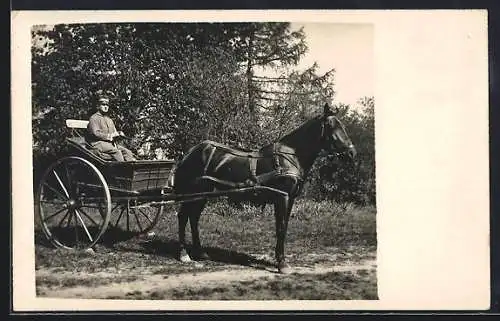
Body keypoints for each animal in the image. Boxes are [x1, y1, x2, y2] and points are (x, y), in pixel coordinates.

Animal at [172, 102, 356, 272]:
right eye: (332, 126)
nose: (352, 153)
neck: (291, 157)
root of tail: (189, 153)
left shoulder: (289, 198)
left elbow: (283, 228)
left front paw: (279, 259)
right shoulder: (282, 197)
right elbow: (280, 228)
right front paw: (282, 264)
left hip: (203, 193)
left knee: (193, 218)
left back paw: (200, 252)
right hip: (193, 192)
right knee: (183, 217)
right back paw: (183, 254)